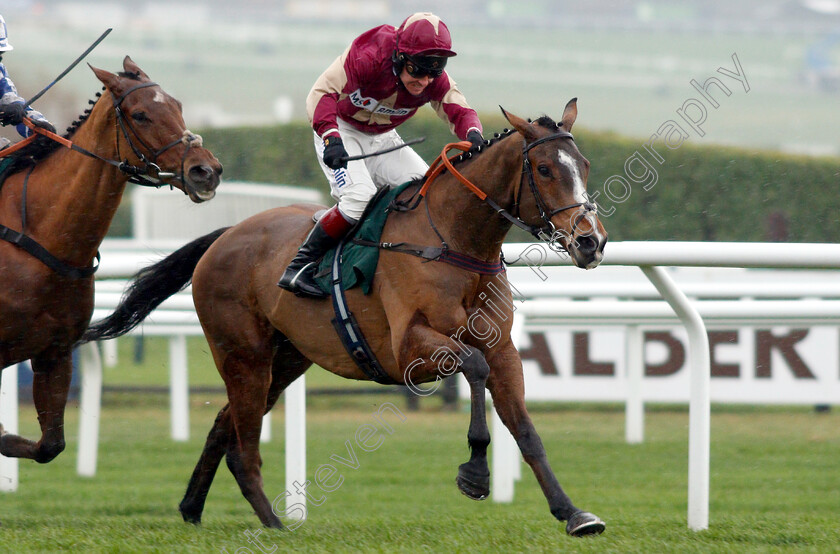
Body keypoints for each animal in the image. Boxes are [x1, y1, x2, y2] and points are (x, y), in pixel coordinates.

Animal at [0, 56, 221, 462]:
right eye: (140, 114)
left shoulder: (54, 353)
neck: (39, 234)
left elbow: (50, 445)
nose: (206, 170)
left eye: (178, 105)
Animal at [82, 99, 608, 536]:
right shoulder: (410, 347)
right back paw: (272, 523)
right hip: (243, 356)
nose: (591, 241)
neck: (455, 241)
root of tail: (227, 234)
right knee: (243, 446)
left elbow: (525, 429)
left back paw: (192, 507)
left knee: (222, 424)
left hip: (284, 361)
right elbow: (473, 369)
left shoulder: (502, 349)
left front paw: (573, 513)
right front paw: (475, 474)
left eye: (583, 165)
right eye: (544, 168)